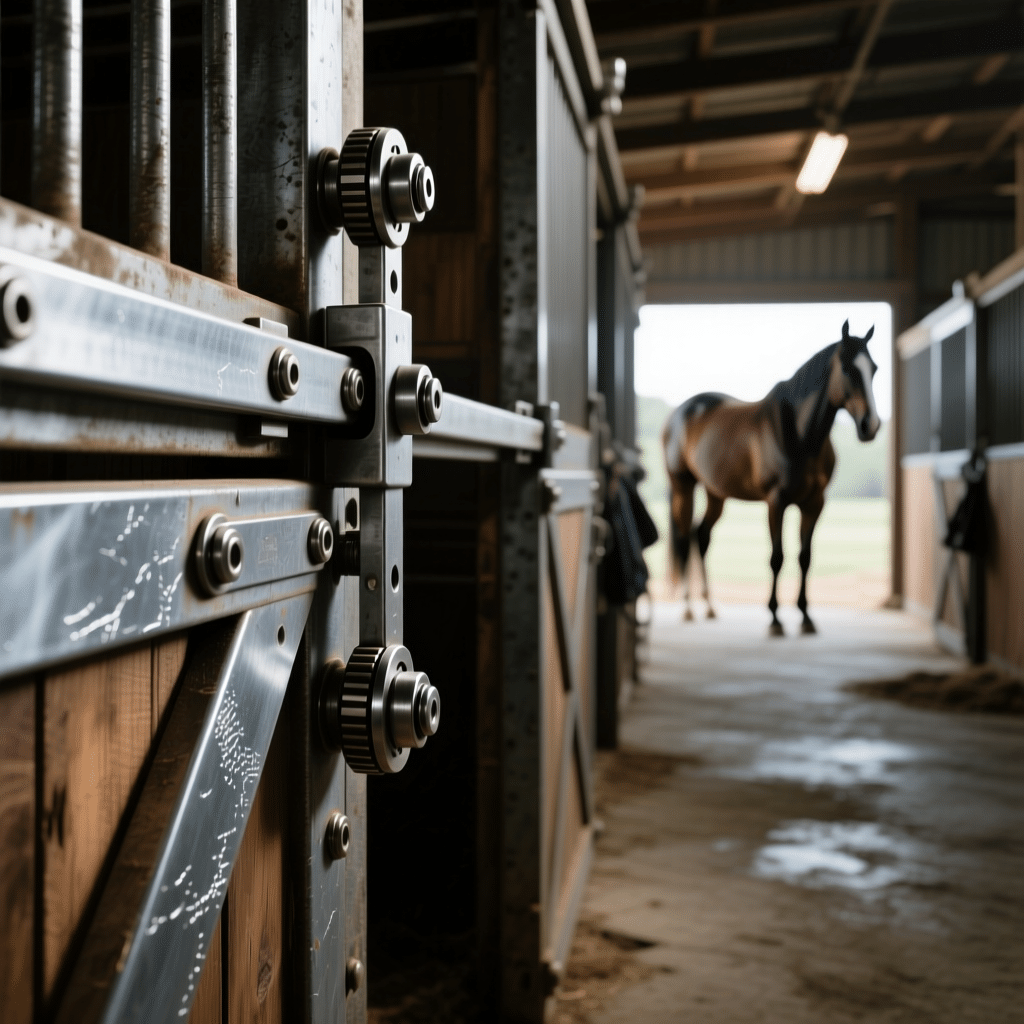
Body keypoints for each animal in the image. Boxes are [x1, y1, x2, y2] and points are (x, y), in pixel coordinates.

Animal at [661, 319, 880, 636]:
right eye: (848, 368)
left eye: (873, 368)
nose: (870, 425)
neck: (800, 435)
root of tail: (678, 414)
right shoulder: (776, 502)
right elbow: (777, 558)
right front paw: (775, 618)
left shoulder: (814, 503)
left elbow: (805, 557)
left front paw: (806, 616)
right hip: (683, 488)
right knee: (683, 538)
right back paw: (689, 608)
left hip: (716, 494)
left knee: (700, 537)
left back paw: (709, 606)